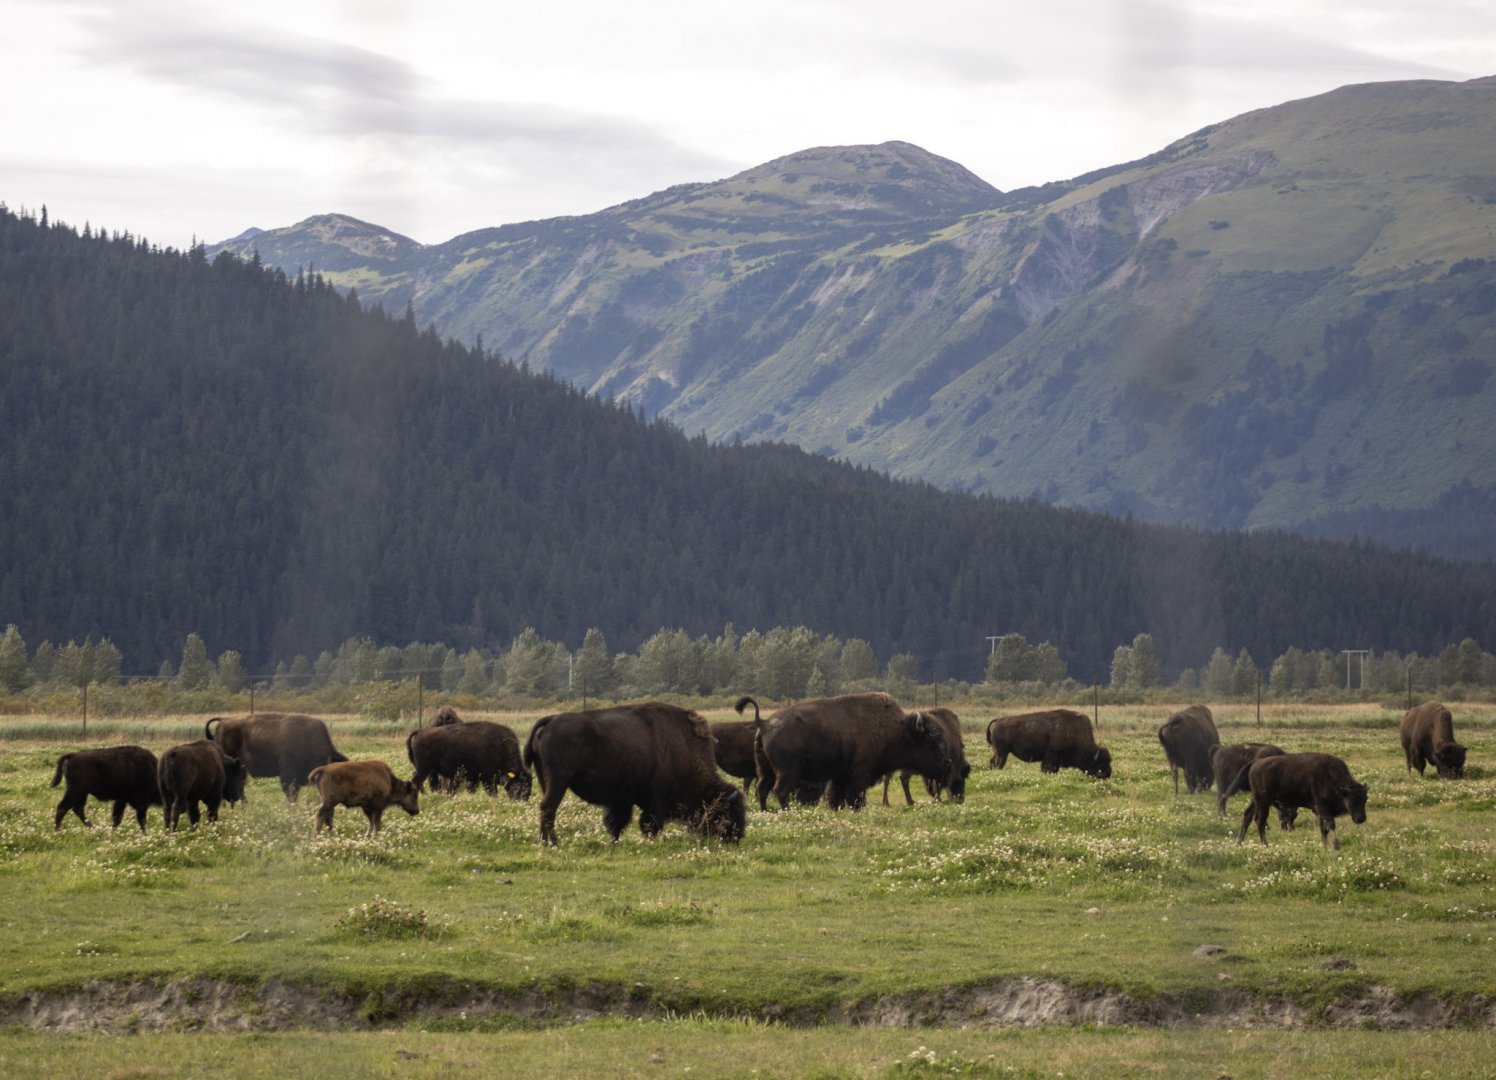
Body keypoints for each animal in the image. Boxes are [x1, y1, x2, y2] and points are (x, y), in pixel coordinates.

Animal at [523, 701, 746, 847]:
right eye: (728, 811)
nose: (737, 837)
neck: (683, 749)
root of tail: (551, 721)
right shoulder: (655, 799)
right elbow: (650, 823)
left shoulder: (622, 800)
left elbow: (616, 823)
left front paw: (614, 843)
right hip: (558, 782)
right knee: (548, 808)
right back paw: (552, 843)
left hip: (545, 781)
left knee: (545, 808)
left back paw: (546, 842)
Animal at [742, 693, 951, 811]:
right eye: (931, 742)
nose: (947, 763)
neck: (896, 730)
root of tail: (764, 723)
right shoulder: (859, 773)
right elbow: (854, 794)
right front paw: (857, 808)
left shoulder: (841, 775)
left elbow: (837, 794)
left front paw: (838, 808)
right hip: (787, 772)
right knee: (779, 790)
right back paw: (787, 811)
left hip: (765, 769)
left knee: (762, 789)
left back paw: (765, 810)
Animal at [1228, 752, 1368, 850]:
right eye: (1351, 800)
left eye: (1365, 800)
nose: (1361, 818)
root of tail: (1256, 762)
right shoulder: (1323, 807)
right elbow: (1331, 825)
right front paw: (1335, 846)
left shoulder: (1321, 812)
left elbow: (1324, 829)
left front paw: (1324, 846)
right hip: (1263, 802)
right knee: (1259, 820)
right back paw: (1265, 845)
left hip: (1257, 801)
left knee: (1247, 815)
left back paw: (1239, 843)